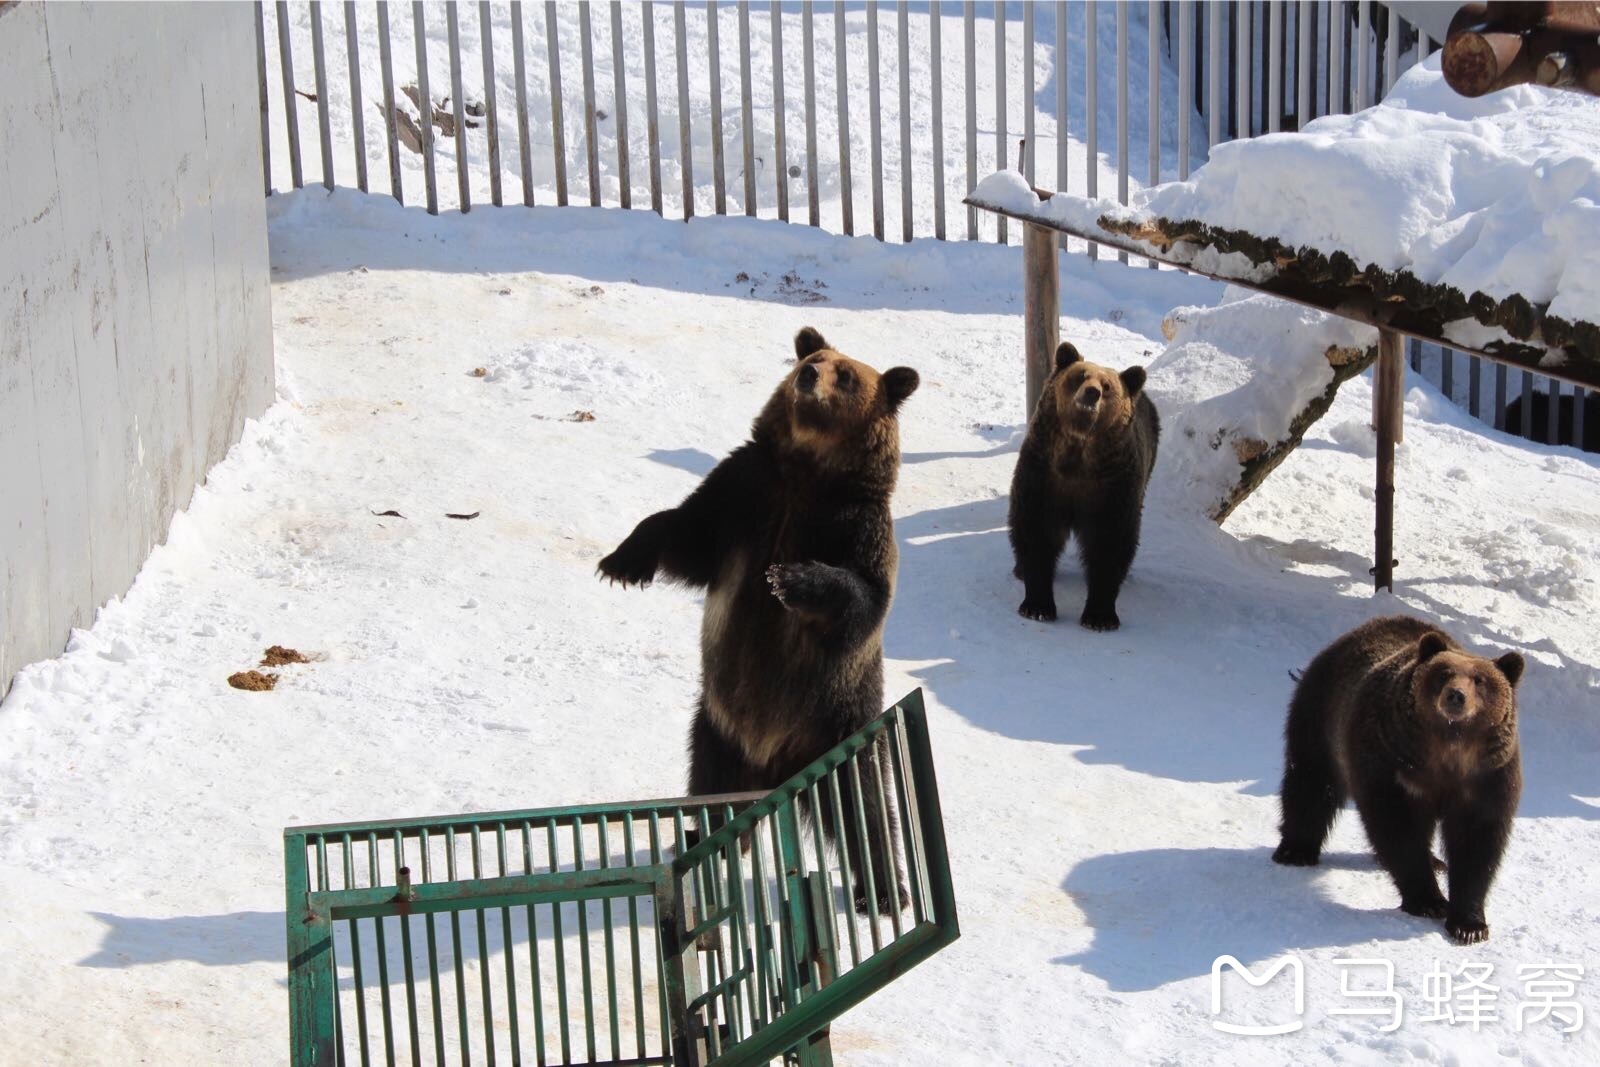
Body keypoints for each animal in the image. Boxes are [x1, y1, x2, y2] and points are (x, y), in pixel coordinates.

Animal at [601, 327, 921, 921]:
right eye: (813, 355)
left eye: (846, 375)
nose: (809, 376)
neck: (808, 474)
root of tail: (774, 770)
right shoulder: (743, 493)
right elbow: (684, 532)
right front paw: (622, 561)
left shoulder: (857, 526)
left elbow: (863, 597)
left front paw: (790, 579)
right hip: (718, 728)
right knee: (707, 785)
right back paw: (707, 841)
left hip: (836, 725)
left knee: (864, 804)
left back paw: (885, 891)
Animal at [1273, 614, 1523, 947]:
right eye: (1444, 673)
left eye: (1480, 680)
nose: (1455, 696)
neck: (1448, 750)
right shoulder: (1392, 764)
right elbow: (1398, 829)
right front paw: (1429, 900)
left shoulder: (1486, 777)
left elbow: (1477, 843)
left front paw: (1469, 924)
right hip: (1320, 717)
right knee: (1310, 784)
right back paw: (1295, 850)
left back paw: (1436, 861)